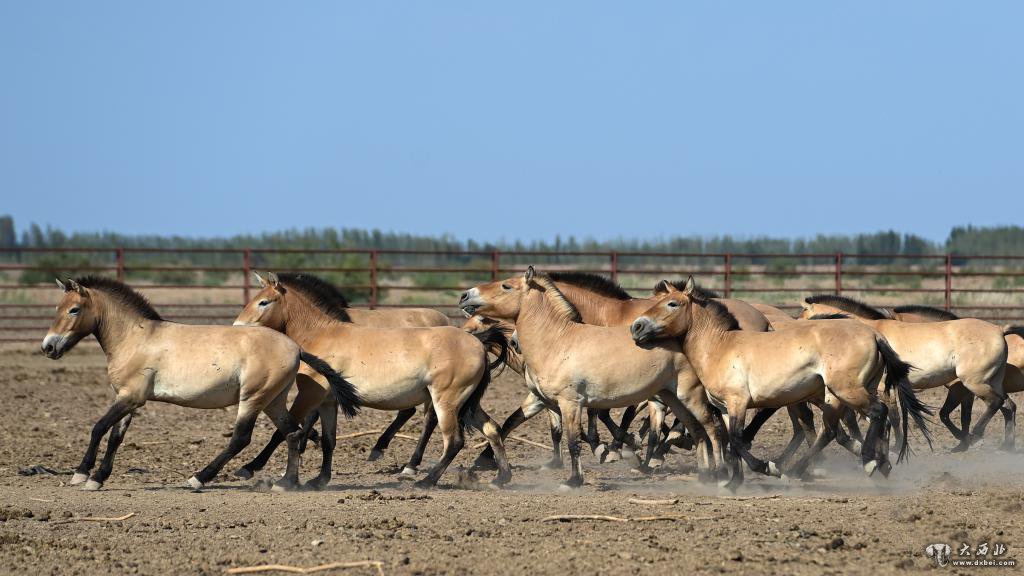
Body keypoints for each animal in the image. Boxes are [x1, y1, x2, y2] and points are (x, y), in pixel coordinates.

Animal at [41, 276, 362, 491]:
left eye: (73, 309)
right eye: (58, 307)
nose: (48, 347)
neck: (137, 337)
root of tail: (296, 348)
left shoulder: (131, 397)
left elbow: (98, 427)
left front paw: (82, 474)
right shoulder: (127, 398)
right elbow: (115, 436)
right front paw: (98, 478)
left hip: (253, 399)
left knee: (241, 438)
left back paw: (199, 478)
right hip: (273, 400)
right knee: (292, 434)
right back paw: (287, 483)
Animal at [235, 270, 516, 485]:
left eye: (264, 302)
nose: (238, 328)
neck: (322, 334)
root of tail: (477, 342)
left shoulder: (309, 394)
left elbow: (283, 431)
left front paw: (251, 468)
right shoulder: (327, 400)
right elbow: (327, 440)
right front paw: (319, 479)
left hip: (446, 401)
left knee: (453, 440)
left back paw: (424, 480)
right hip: (467, 403)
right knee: (491, 429)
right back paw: (501, 478)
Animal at [456, 266, 729, 485]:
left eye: (506, 285)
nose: (465, 295)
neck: (559, 341)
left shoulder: (572, 402)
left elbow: (575, 440)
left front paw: (578, 476)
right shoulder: (546, 399)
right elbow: (521, 423)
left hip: (688, 395)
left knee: (711, 427)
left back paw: (717, 474)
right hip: (671, 397)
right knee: (696, 429)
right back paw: (701, 474)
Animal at [626, 276, 933, 485]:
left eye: (672, 303)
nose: (636, 327)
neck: (720, 346)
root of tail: (874, 335)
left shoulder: (738, 402)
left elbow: (737, 440)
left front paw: (766, 469)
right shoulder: (725, 408)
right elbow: (729, 442)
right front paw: (734, 481)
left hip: (846, 390)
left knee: (875, 414)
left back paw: (865, 462)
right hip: (850, 392)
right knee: (856, 424)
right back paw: (879, 464)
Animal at [798, 293, 1007, 450]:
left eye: (802, 318)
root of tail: (999, 329)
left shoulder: (884, 388)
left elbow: (894, 417)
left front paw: (896, 445)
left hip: (973, 382)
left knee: (993, 403)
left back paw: (973, 438)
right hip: (986, 381)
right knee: (1005, 405)